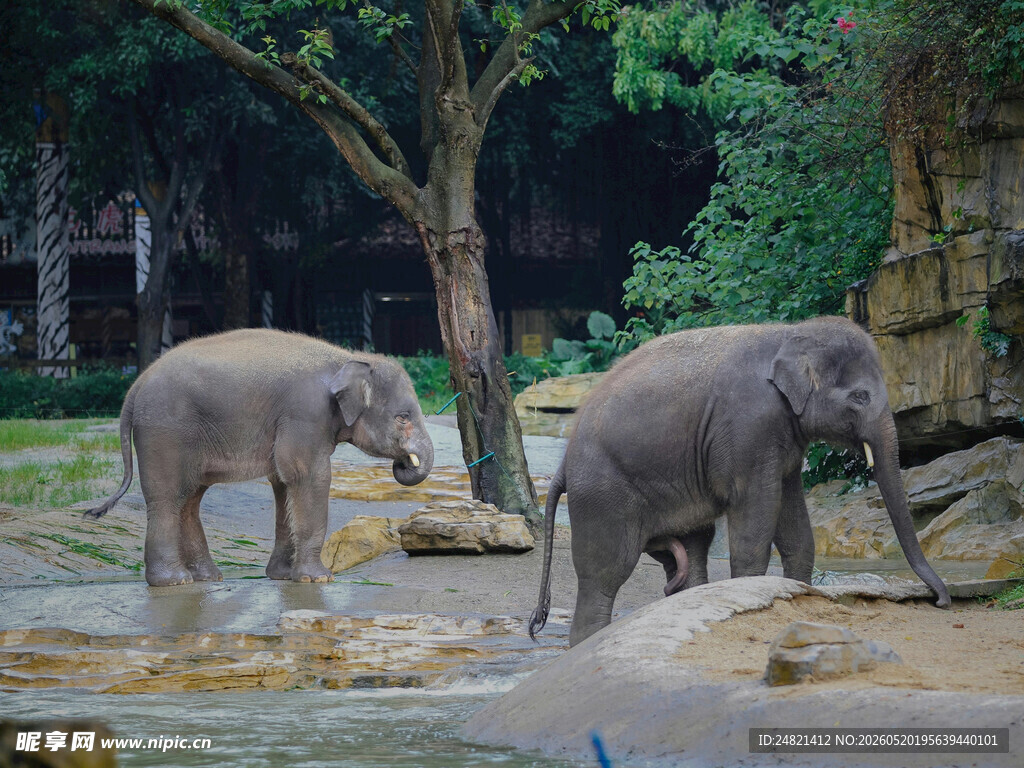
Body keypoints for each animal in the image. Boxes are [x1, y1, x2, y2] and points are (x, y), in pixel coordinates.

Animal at [86, 328, 434, 587]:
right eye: (403, 417)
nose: (404, 461)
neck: (347, 358)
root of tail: (135, 386)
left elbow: (282, 482)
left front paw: (282, 576)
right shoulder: (305, 414)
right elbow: (308, 475)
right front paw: (318, 579)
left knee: (190, 498)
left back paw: (207, 578)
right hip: (165, 431)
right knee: (168, 496)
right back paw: (175, 582)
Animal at [529, 316, 950, 647]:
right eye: (860, 396)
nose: (941, 601)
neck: (789, 333)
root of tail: (564, 463)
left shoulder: (782, 438)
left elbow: (794, 523)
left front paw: (800, 596)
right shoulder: (750, 428)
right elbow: (755, 515)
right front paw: (753, 594)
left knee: (691, 552)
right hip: (603, 493)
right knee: (605, 572)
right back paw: (588, 642)